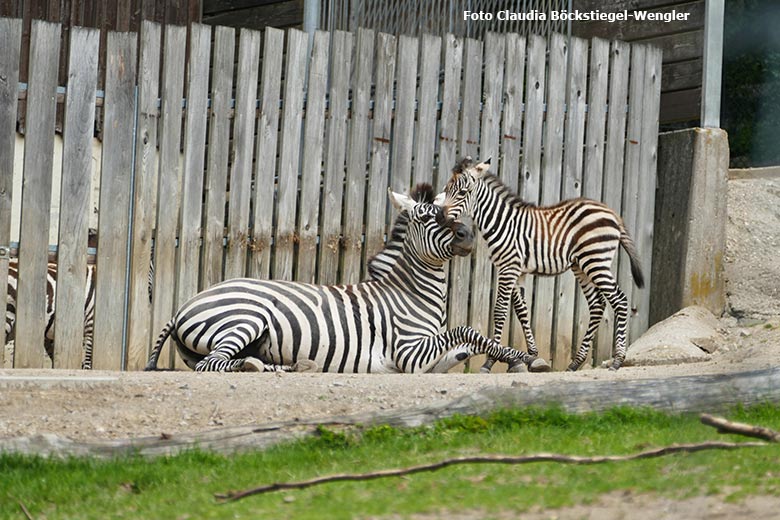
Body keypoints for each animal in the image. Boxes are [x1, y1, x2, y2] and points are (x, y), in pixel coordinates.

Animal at [146, 185, 536, 372]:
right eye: (427, 218)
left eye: (449, 213)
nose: (468, 235)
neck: (412, 293)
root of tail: (183, 305)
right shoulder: (408, 353)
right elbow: (468, 331)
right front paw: (524, 357)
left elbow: (468, 342)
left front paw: (516, 357)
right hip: (245, 318)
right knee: (213, 363)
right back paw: (258, 366)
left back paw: (289, 366)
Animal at [442, 156, 644, 372]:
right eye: (446, 189)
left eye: (463, 192)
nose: (441, 217)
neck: (501, 223)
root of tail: (612, 213)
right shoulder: (517, 271)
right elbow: (522, 311)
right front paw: (532, 356)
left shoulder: (508, 268)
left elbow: (500, 311)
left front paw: (490, 361)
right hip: (581, 265)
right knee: (597, 305)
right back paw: (575, 363)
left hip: (596, 261)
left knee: (620, 301)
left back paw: (617, 360)